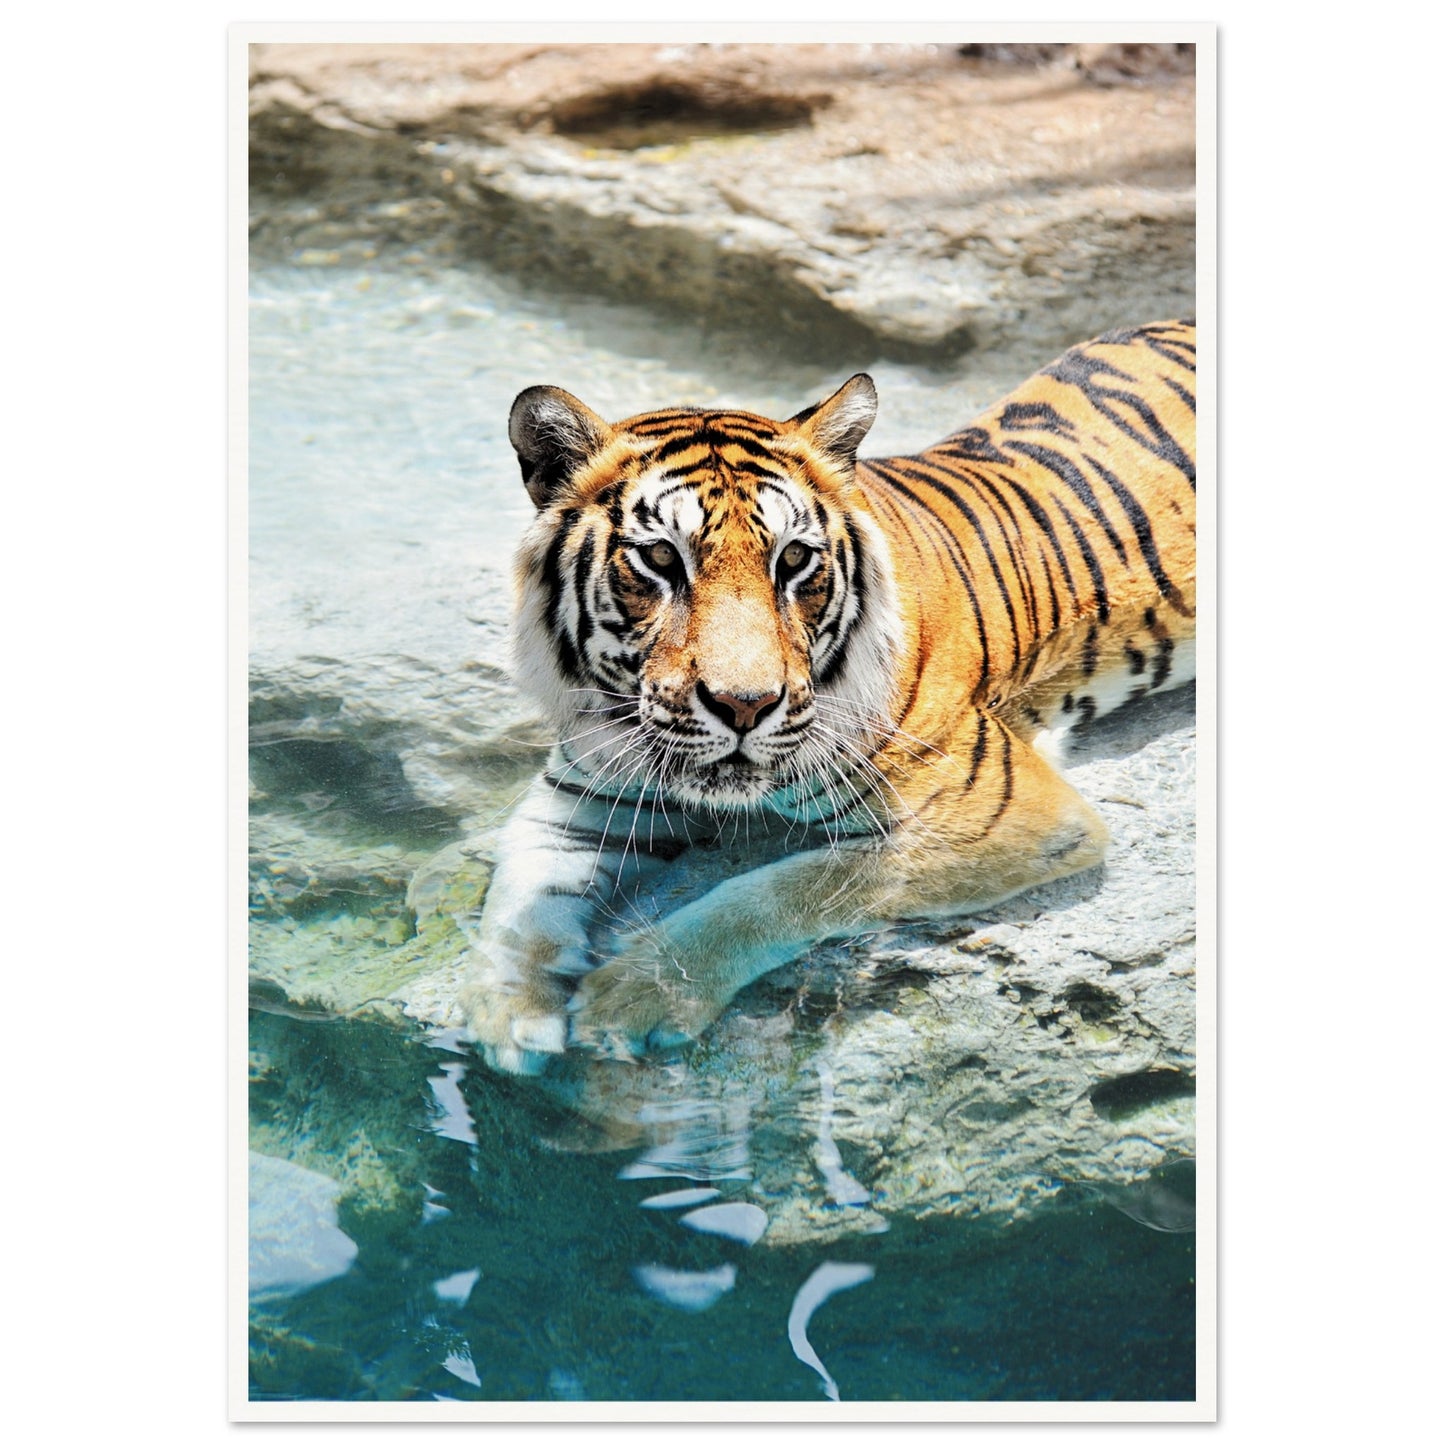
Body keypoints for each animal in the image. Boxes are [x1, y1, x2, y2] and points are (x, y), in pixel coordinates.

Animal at [460, 320, 1197, 1075]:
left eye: (792, 559)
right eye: (661, 558)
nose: (745, 705)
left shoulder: (1005, 814)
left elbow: (781, 888)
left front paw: (637, 993)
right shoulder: (581, 796)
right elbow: (518, 896)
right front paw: (505, 1013)